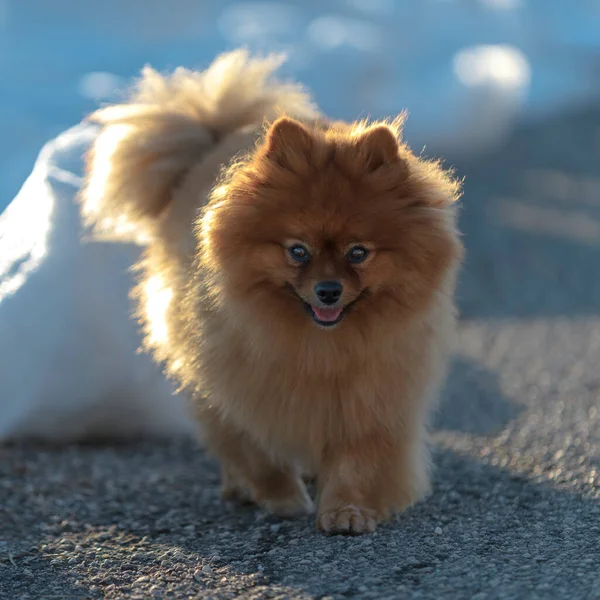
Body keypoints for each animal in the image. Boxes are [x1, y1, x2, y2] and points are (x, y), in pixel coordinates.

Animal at [81, 49, 464, 532]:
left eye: (358, 253)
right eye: (297, 251)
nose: (328, 290)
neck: (318, 349)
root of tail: (213, 136)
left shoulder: (373, 397)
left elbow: (358, 461)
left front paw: (347, 510)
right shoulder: (238, 387)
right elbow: (253, 447)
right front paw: (281, 497)